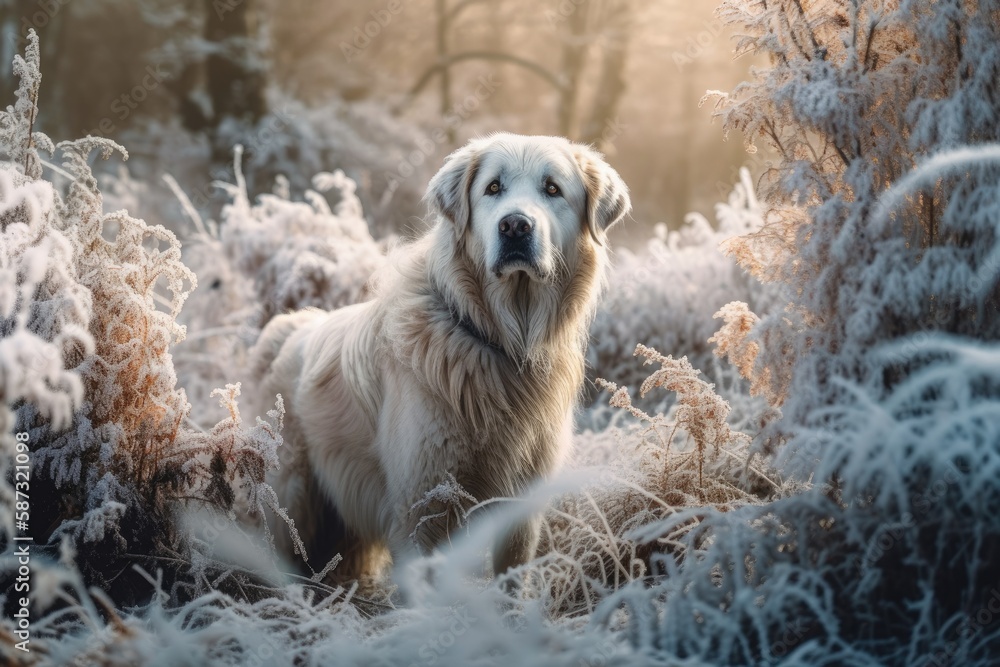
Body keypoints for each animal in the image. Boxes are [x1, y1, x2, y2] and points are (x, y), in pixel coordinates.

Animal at [250, 132, 628, 580]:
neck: (498, 341)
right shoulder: (423, 506)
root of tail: (291, 327)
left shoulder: (521, 509)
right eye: (493, 188)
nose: (515, 225)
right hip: (291, 504)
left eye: (552, 189)